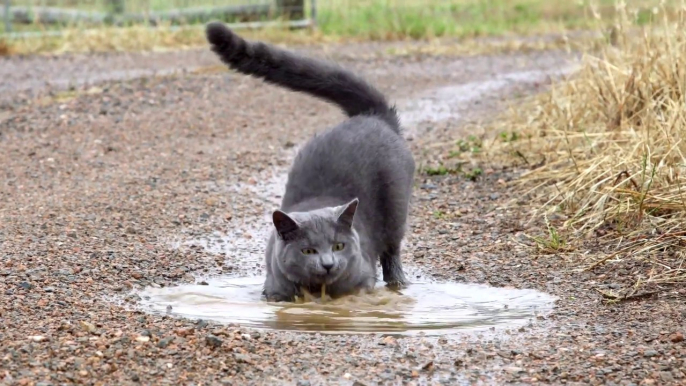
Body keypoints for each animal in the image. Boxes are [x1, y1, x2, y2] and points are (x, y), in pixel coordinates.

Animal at [207, 22, 416, 304]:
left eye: (338, 246)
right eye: (307, 251)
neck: (319, 290)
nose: (328, 263)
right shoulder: (273, 290)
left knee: (392, 254)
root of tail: (372, 116)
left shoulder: (363, 281)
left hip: (395, 212)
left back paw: (398, 283)